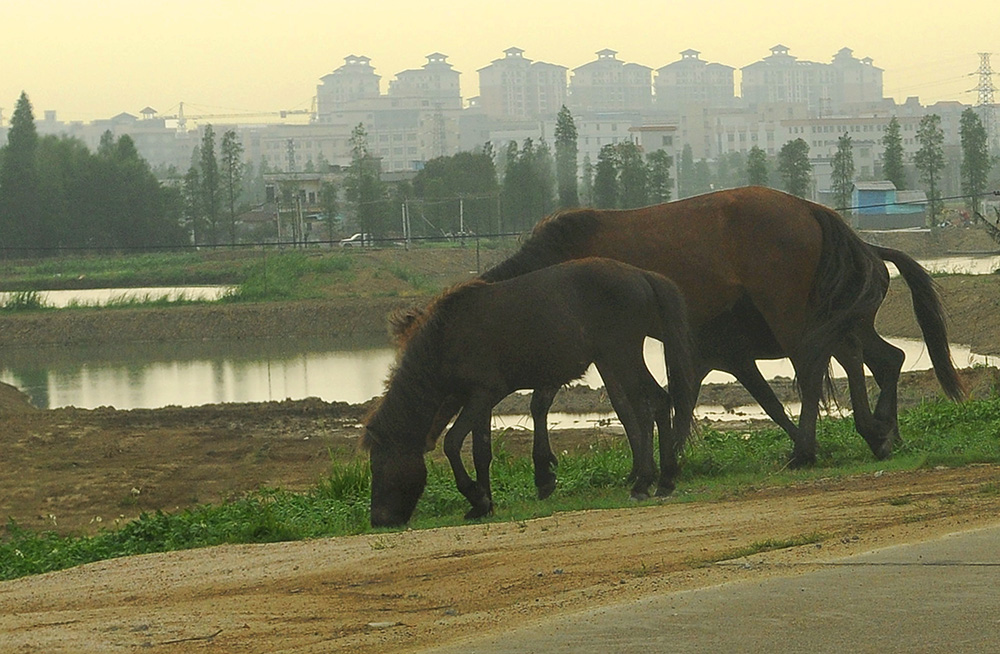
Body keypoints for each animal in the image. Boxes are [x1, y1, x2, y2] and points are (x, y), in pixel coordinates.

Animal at [364, 258, 700, 532]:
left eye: (378, 466)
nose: (379, 520)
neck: (445, 338)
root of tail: (642, 275)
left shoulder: (483, 394)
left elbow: (453, 443)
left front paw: (476, 496)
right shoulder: (478, 400)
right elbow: (481, 451)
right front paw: (484, 502)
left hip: (622, 355)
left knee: (650, 405)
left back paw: (644, 483)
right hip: (616, 358)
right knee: (657, 404)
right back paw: (664, 479)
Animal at [478, 186, 968, 476]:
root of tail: (810, 209)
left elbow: (614, 402)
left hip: (787, 310)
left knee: (813, 371)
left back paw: (809, 450)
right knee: (881, 359)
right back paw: (879, 433)